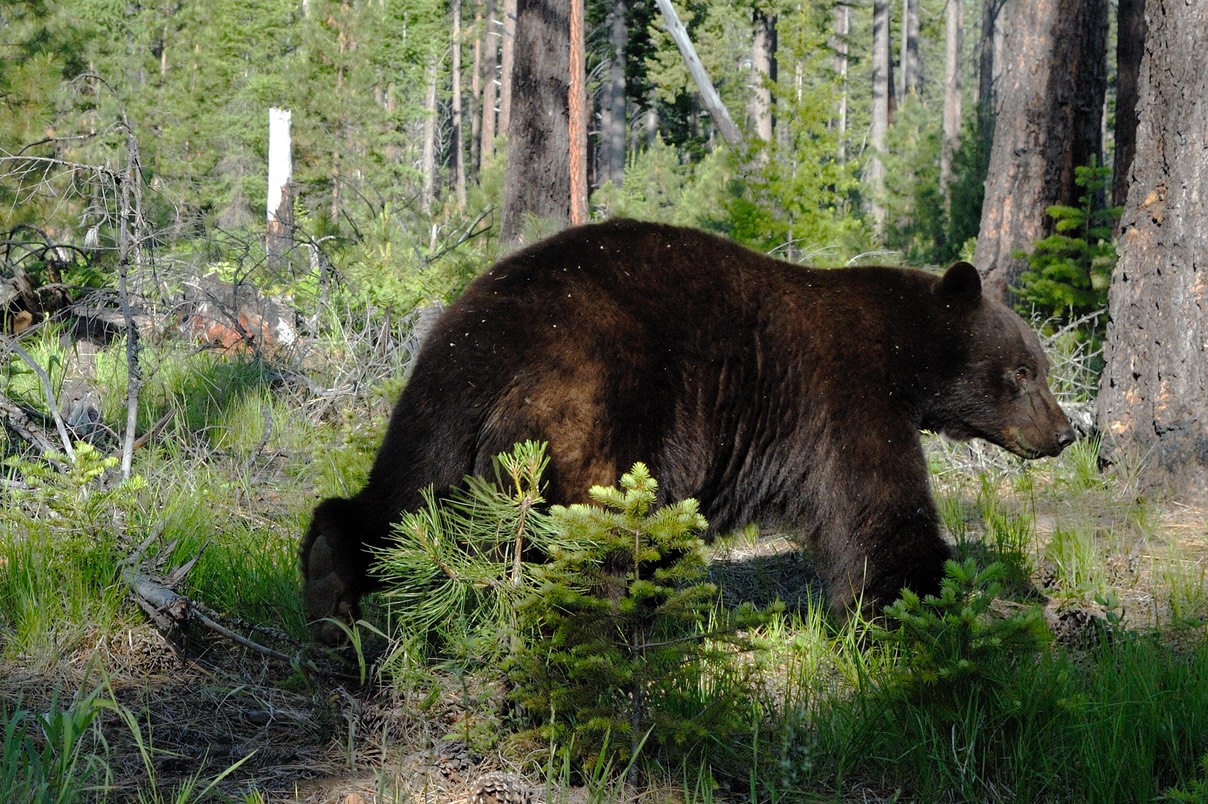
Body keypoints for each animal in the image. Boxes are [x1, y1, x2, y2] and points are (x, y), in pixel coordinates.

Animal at [301, 219, 1075, 645]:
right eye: (1024, 372)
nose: (1066, 433)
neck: (905, 353)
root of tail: (488, 337)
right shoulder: (848, 396)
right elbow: (876, 512)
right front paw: (946, 602)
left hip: (438, 408)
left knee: (405, 501)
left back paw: (329, 592)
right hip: (595, 406)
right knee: (591, 539)